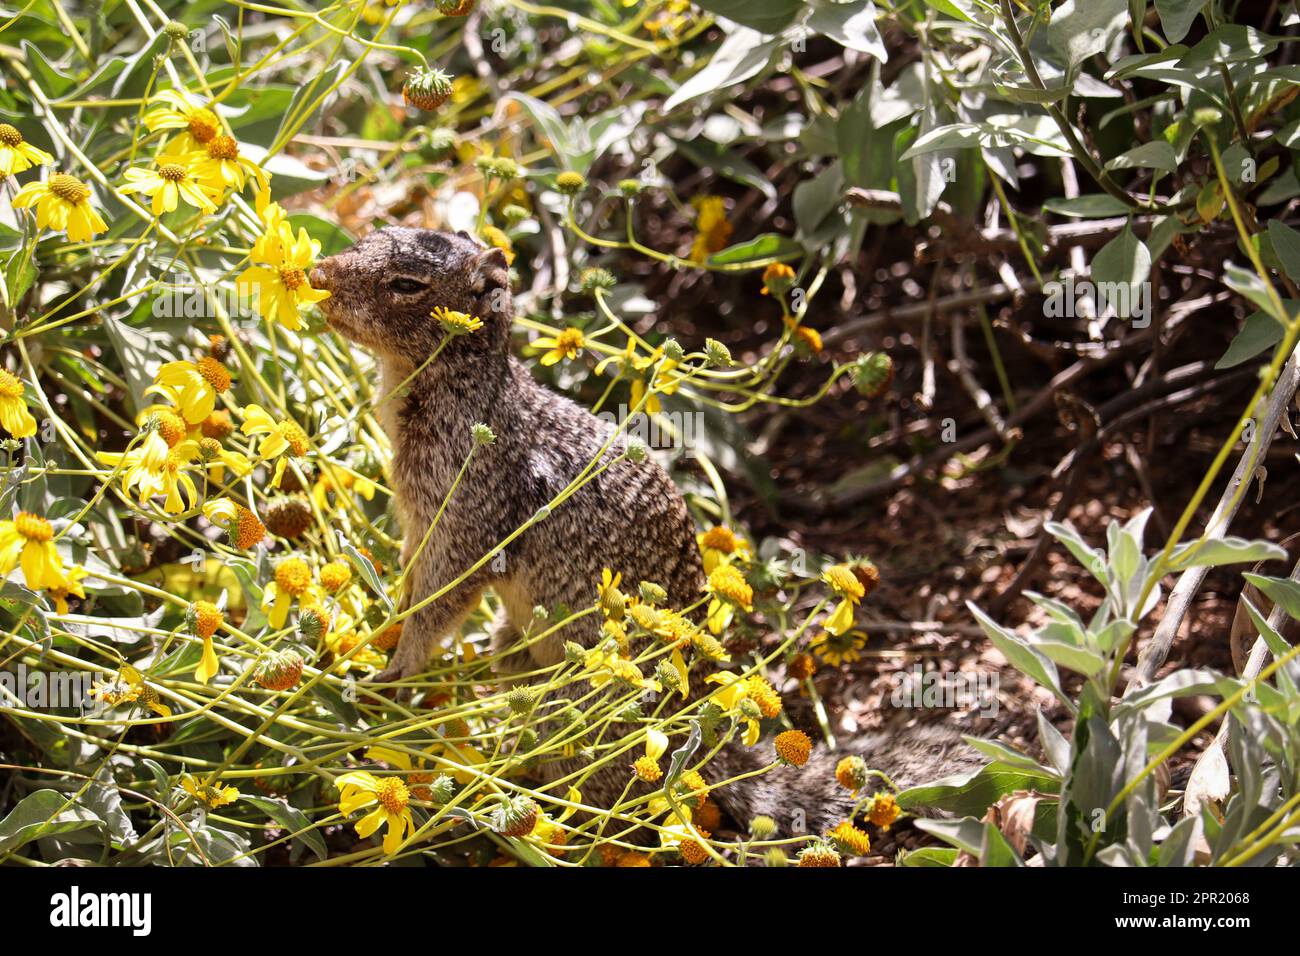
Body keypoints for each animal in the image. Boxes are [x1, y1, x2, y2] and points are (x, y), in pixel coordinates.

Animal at [311, 226, 983, 841]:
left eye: (407, 284)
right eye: (370, 235)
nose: (318, 273)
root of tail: (696, 735)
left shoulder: (468, 524)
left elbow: (441, 602)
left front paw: (394, 672)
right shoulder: (416, 522)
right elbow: (413, 583)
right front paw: (383, 627)